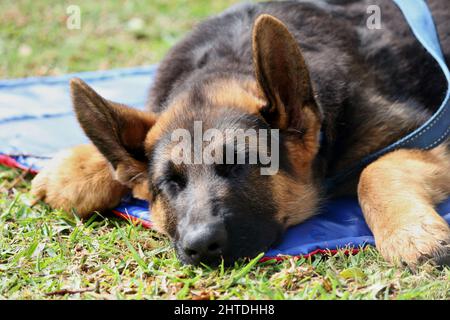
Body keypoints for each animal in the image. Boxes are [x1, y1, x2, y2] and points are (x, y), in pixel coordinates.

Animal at [29, 0, 448, 268]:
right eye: (169, 184)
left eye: (240, 166)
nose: (201, 247)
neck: (227, 65)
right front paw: (80, 167)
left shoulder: (428, 134)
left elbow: (374, 171)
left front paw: (410, 232)